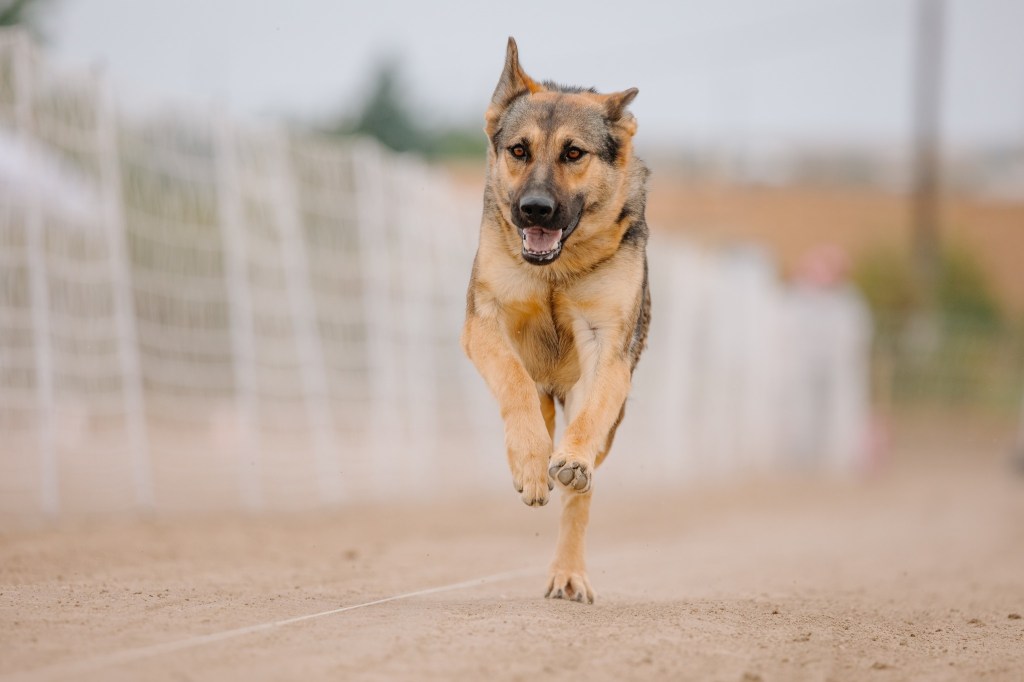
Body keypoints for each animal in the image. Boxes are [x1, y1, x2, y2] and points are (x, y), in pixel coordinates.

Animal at [461, 37, 651, 603]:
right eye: (519, 150)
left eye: (573, 153)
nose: (536, 209)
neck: (555, 271)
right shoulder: (484, 322)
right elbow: (513, 382)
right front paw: (527, 460)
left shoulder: (607, 346)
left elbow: (586, 423)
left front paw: (568, 462)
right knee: (534, 399)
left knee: (579, 496)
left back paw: (568, 568)